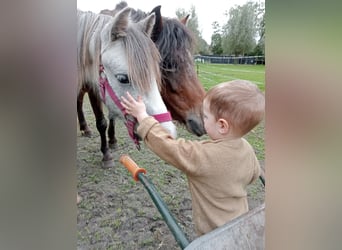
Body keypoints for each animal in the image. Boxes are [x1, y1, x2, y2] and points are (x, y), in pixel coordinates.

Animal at [77, 2, 206, 148]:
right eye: (167, 65)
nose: (203, 117)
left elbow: (112, 116)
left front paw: (113, 140)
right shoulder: (93, 90)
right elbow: (102, 122)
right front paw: (106, 151)